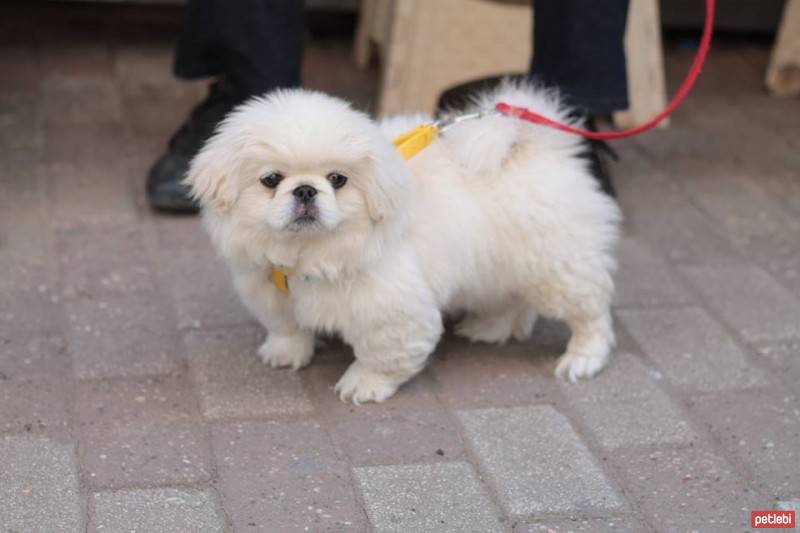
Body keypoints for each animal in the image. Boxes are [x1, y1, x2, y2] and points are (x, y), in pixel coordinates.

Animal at [186, 81, 620, 402]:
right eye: (271, 180)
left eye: (338, 180)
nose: (306, 190)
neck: (308, 255)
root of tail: (537, 147)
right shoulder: (268, 289)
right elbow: (286, 326)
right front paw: (287, 353)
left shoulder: (392, 310)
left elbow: (383, 355)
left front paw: (364, 385)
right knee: (510, 299)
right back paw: (491, 327)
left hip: (556, 267)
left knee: (592, 311)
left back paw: (582, 358)